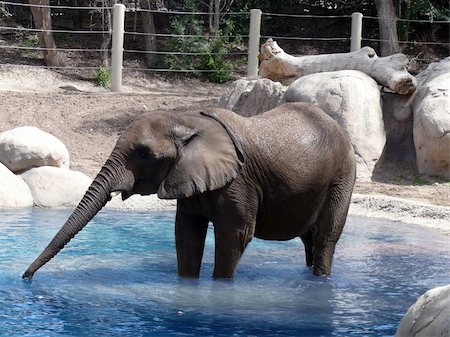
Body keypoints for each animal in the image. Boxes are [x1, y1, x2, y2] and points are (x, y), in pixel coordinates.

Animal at [22, 101, 356, 278]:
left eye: (144, 154)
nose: (26, 277)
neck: (186, 119)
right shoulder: (188, 176)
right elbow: (186, 234)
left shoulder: (239, 181)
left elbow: (235, 235)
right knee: (309, 240)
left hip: (342, 176)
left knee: (325, 238)